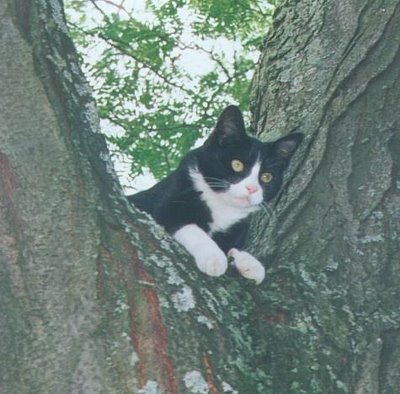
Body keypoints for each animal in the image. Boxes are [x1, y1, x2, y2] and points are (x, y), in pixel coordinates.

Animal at [129, 104, 304, 284]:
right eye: (237, 164)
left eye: (266, 177)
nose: (251, 188)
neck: (222, 205)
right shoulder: (164, 207)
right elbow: (190, 227)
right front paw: (213, 257)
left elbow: (233, 246)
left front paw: (250, 263)